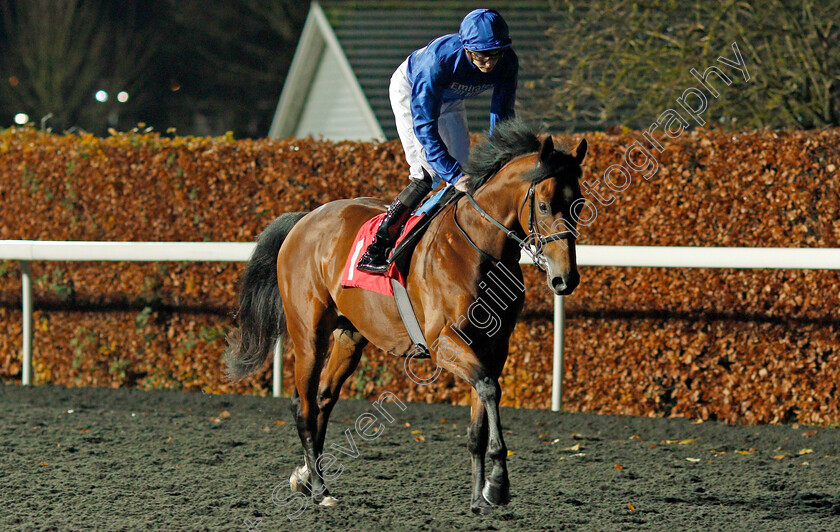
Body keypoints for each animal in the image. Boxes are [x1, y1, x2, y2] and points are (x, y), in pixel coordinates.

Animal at [226, 120, 588, 516]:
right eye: (544, 205)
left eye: (580, 205)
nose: (565, 278)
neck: (478, 249)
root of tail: (303, 219)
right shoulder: (445, 343)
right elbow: (490, 388)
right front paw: (497, 484)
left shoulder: (493, 347)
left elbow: (482, 407)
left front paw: (479, 497)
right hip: (309, 333)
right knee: (302, 404)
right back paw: (320, 489)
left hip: (350, 336)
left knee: (322, 398)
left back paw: (307, 477)